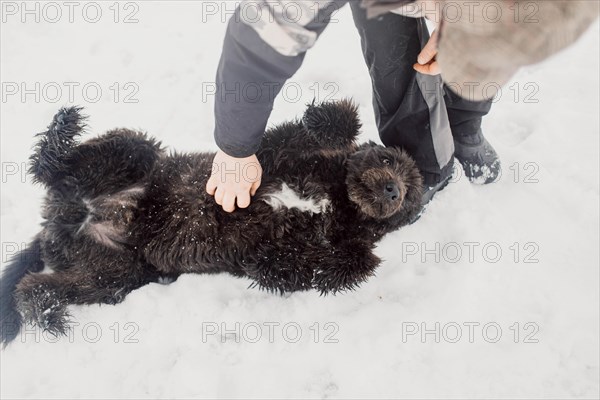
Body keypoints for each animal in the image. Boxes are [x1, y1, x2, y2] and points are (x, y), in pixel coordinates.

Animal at [0, 100, 422, 344]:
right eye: (388, 160)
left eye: (412, 195)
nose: (392, 190)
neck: (336, 199)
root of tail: (65, 217)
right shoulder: (275, 153)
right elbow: (324, 127)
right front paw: (324, 119)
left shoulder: (299, 252)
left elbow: (328, 264)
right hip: (132, 154)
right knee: (53, 166)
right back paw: (63, 127)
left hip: (112, 274)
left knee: (36, 287)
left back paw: (49, 314)